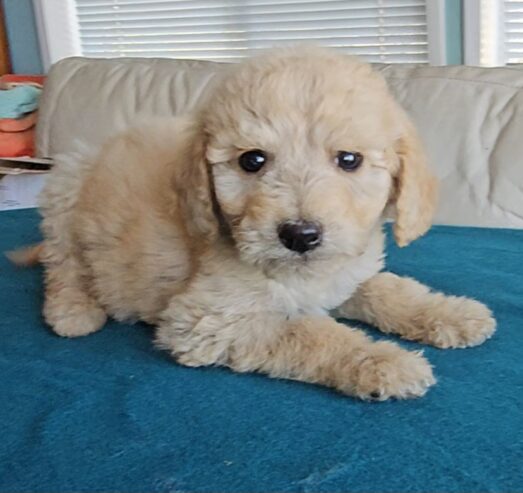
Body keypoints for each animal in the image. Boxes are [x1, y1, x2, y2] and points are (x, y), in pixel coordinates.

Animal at [33, 46, 496, 400]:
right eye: (252, 160)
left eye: (350, 159)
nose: (300, 235)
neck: (303, 275)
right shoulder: (206, 321)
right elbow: (311, 333)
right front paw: (382, 361)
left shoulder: (347, 274)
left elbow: (391, 291)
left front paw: (452, 313)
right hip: (64, 186)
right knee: (62, 265)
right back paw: (74, 312)